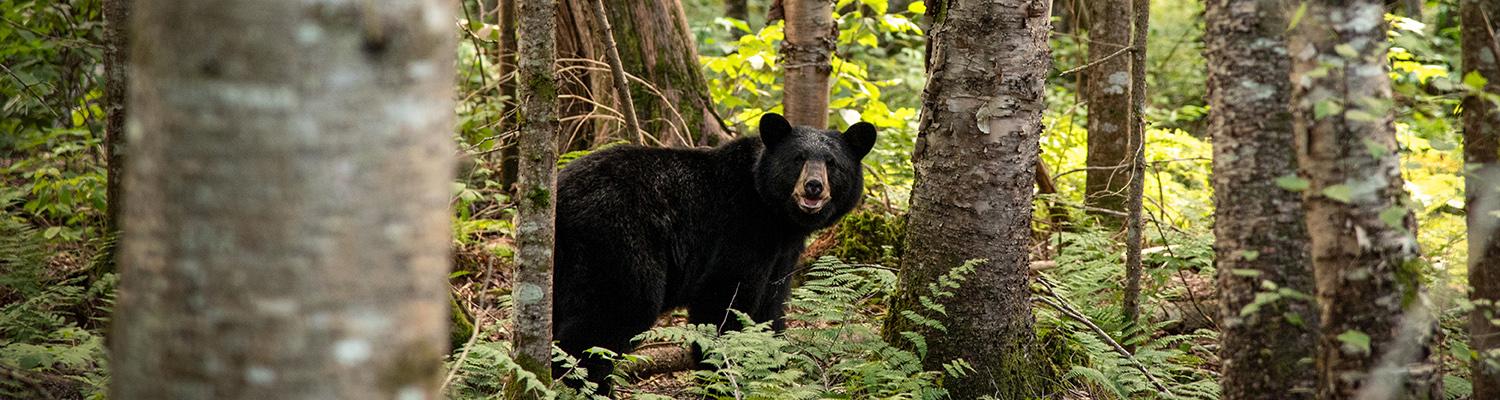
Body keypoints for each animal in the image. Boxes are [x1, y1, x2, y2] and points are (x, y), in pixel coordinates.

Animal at [555, 112, 876, 392]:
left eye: (832, 163)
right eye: (798, 159)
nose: (813, 186)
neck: (774, 214)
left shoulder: (782, 254)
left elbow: (770, 307)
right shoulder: (738, 230)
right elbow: (725, 302)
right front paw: (723, 376)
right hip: (620, 241)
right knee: (613, 315)